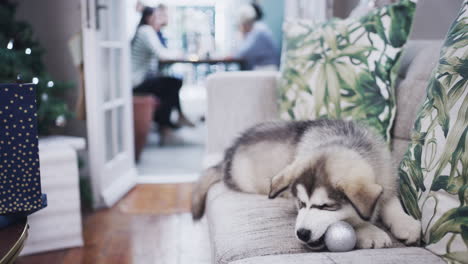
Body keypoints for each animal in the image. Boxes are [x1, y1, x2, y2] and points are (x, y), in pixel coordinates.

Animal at [190, 119, 420, 250]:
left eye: (326, 206)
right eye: (300, 204)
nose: (302, 233)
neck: (345, 140)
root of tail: (228, 156)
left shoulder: (386, 178)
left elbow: (392, 203)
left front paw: (406, 224)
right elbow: (355, 220)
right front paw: (370, 231)